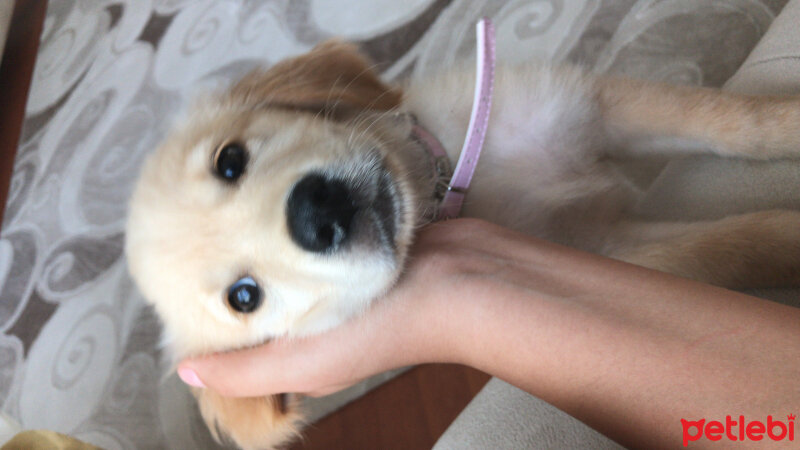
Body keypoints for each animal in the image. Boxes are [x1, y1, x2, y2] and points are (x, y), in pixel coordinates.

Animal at [123, 40, 800, 448]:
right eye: (245, 297)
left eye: (230, 160)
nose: (317, 214)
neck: (436, 182)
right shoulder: (605, 247)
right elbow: (730, 243)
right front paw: (786, 235)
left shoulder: (599, 107)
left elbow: (732, 120)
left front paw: (788, 123)